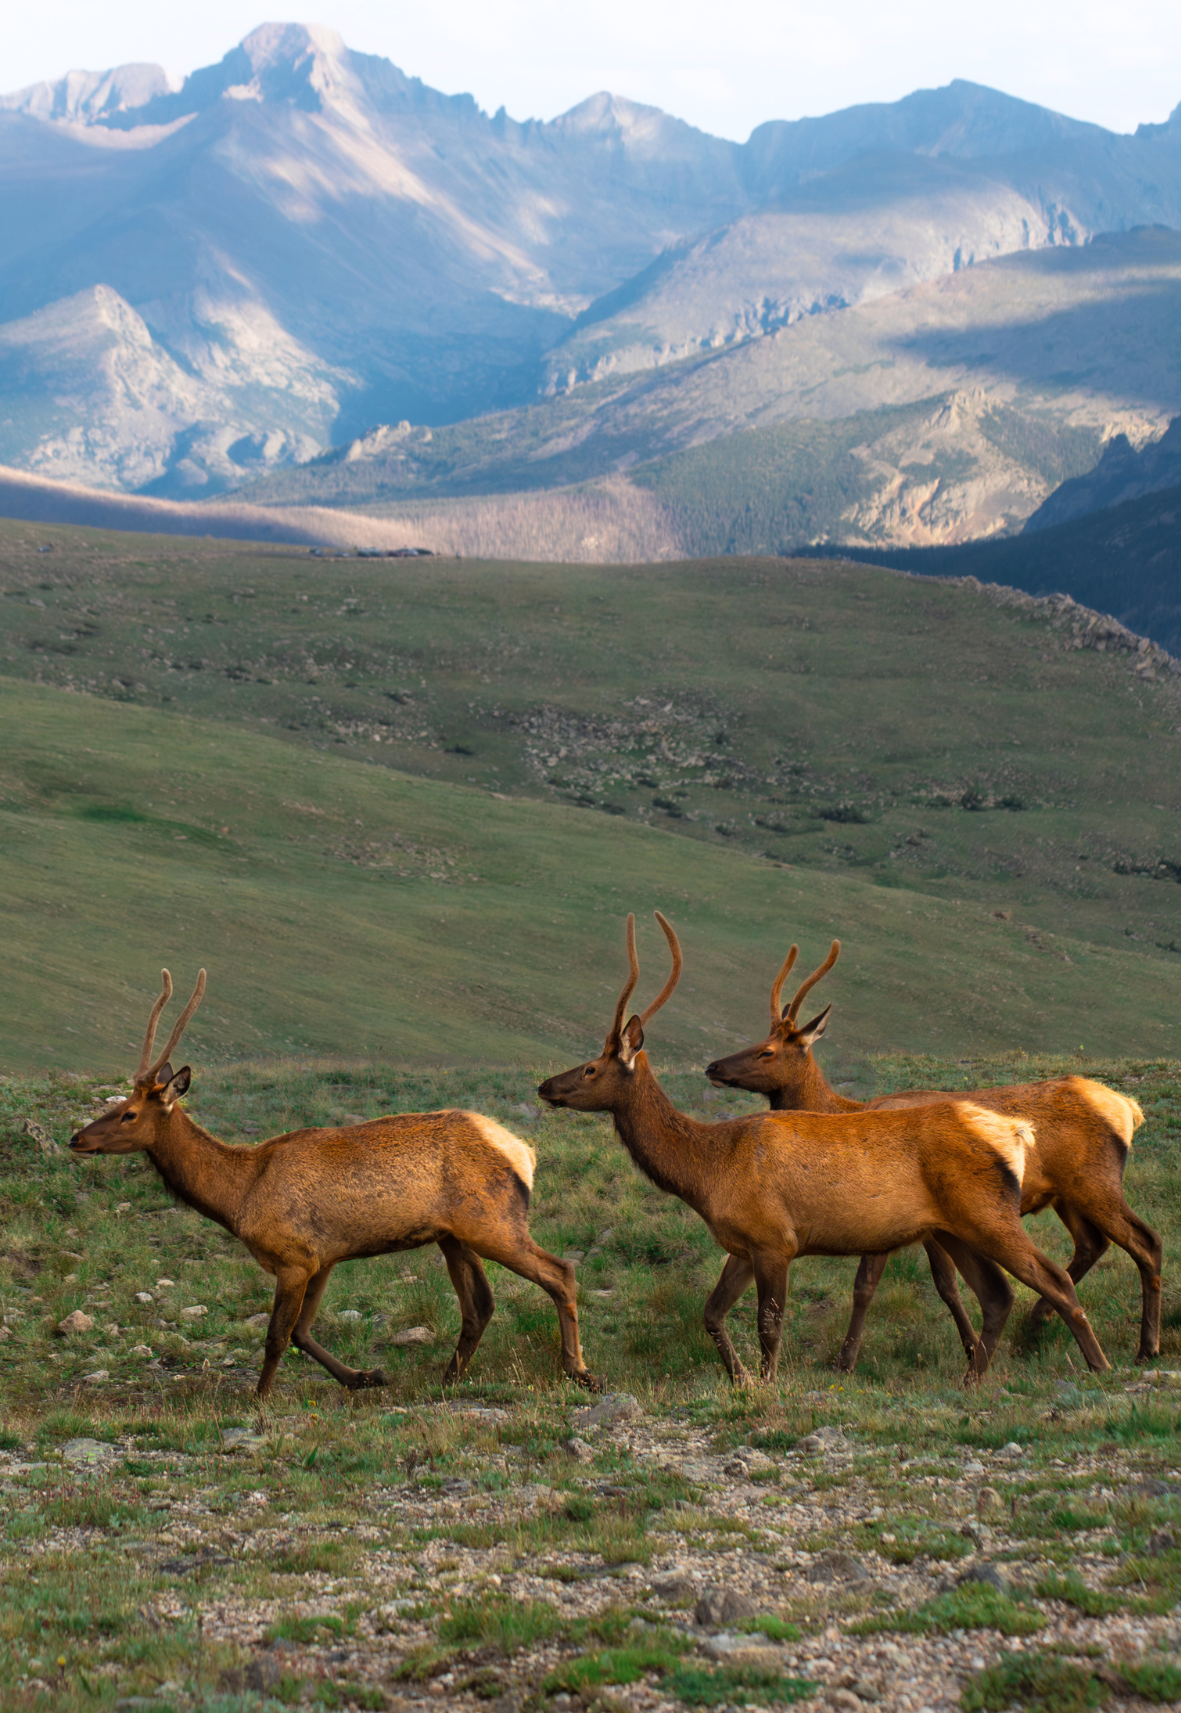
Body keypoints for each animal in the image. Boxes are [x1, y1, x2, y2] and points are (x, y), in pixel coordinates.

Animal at [69, 970, 601, 1400]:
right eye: (117, 1104)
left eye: (128, 1113)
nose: (76, 1138)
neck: (238, 1195)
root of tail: (524, 1153)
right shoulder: (323, 1256)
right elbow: (303, 1333)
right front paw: (366, 1377)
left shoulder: (294, 1256)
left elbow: (277, 1335)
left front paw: (258, 1400)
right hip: (454, 1235)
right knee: (480, 1306)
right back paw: (448, 1378)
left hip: (492, 1221)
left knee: (560, 1272)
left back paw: (579, 1371)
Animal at [538, 913, 1111, 1386]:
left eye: (591, 1068)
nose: (545, 1085)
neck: (707, 1172)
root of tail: (1012, 1134)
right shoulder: (743, 1244)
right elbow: (711, 1314)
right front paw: (740, 1380)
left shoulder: (776, 1239)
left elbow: (770, 1325)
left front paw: (768, 1386)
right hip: (956, 1228)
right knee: (998, 1295)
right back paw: (972, 1379)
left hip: (990, 1215)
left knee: (1053, 1277)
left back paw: (1098, 1366)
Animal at [706, 939, 1158, 1370]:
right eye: (758, 1039)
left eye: (767, 1051)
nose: (713, 1066)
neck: (843, 1111)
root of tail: (1129, 1107)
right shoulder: (928, 1223)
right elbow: (946, 1286)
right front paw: (971, 1348)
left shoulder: (903, 1216)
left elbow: (879, 1286)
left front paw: (847, 1361)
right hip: (1065, 1195)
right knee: (1091, 1245)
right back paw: (1037, 1323)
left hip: (1094, 1182)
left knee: (1144, 1241)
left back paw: (1145, 1348)